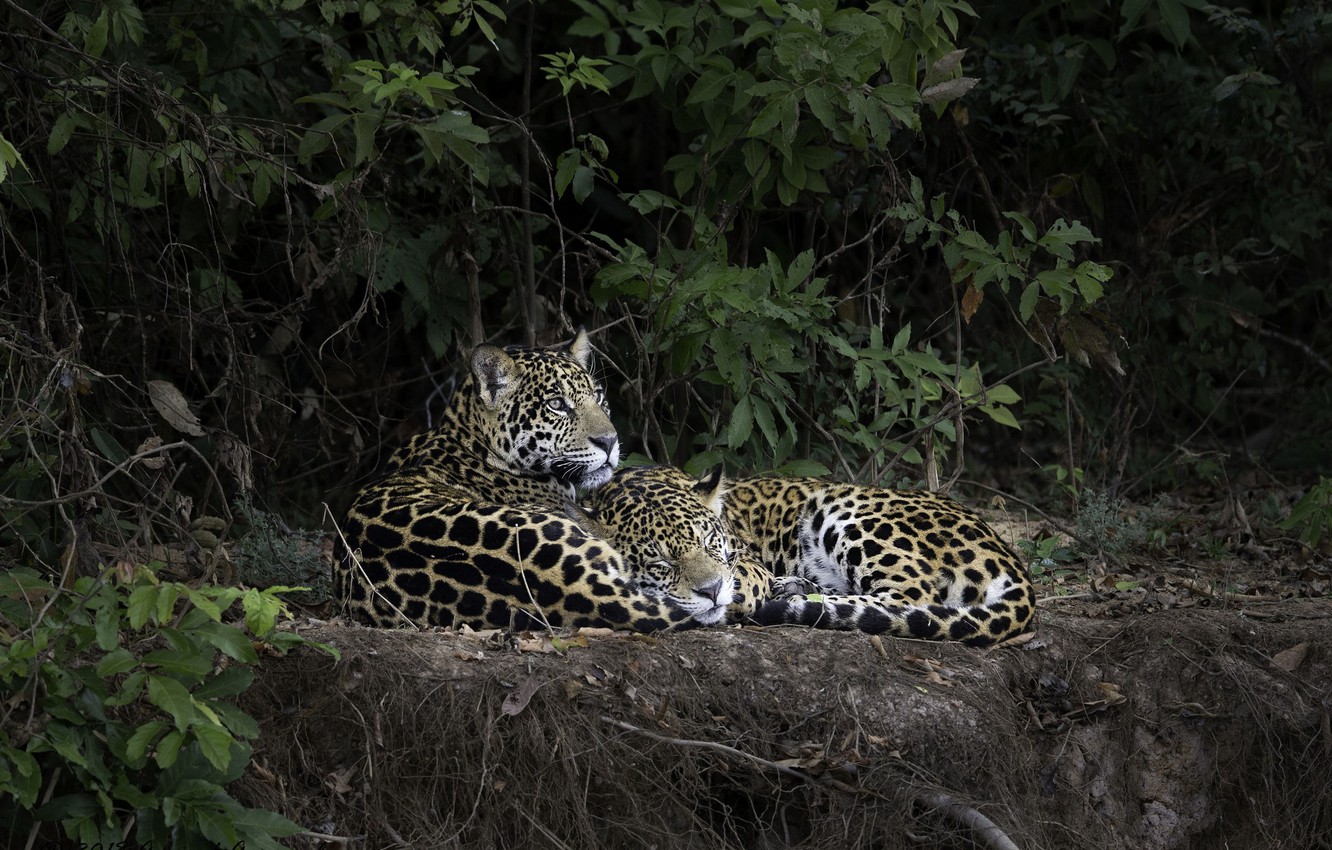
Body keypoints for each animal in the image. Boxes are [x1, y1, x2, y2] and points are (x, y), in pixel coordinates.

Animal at [589, 468, 1036, 647]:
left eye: (710, 542)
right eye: (661, 564)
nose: (712, 590)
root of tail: (1008, 556)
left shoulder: (745, 561)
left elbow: (741, 581)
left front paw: (735, 597)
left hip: (841, 508)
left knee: (910, 597)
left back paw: (793, 597)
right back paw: (794, 587)